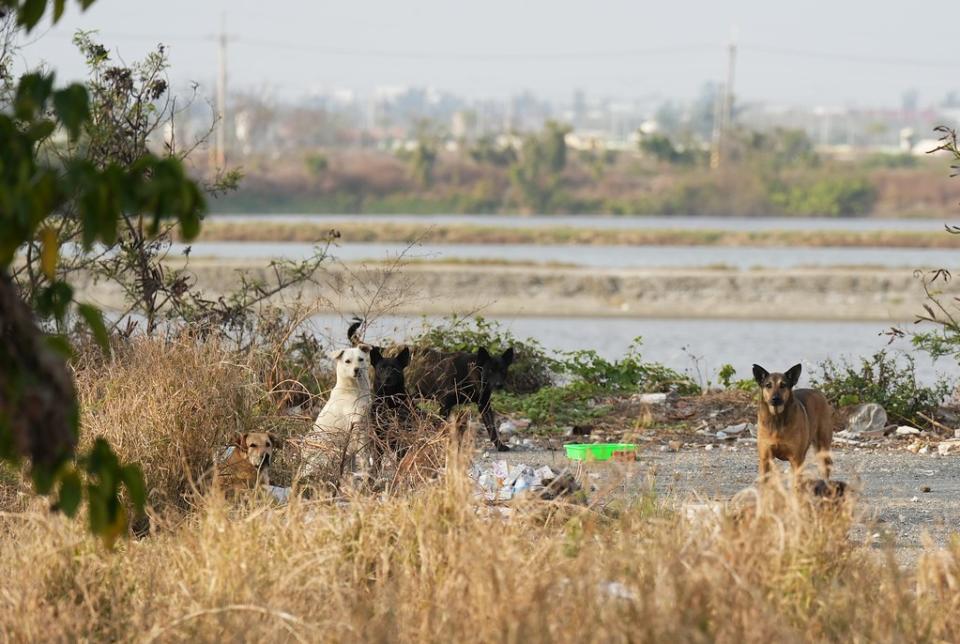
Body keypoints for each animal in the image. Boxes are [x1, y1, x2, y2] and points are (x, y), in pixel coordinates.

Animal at [302, 348, 374, 478]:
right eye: (347, 361)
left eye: (360, 359)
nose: (357, 369)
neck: (353, 390)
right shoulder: (355, 427)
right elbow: (362, 454)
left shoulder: (364, 423)